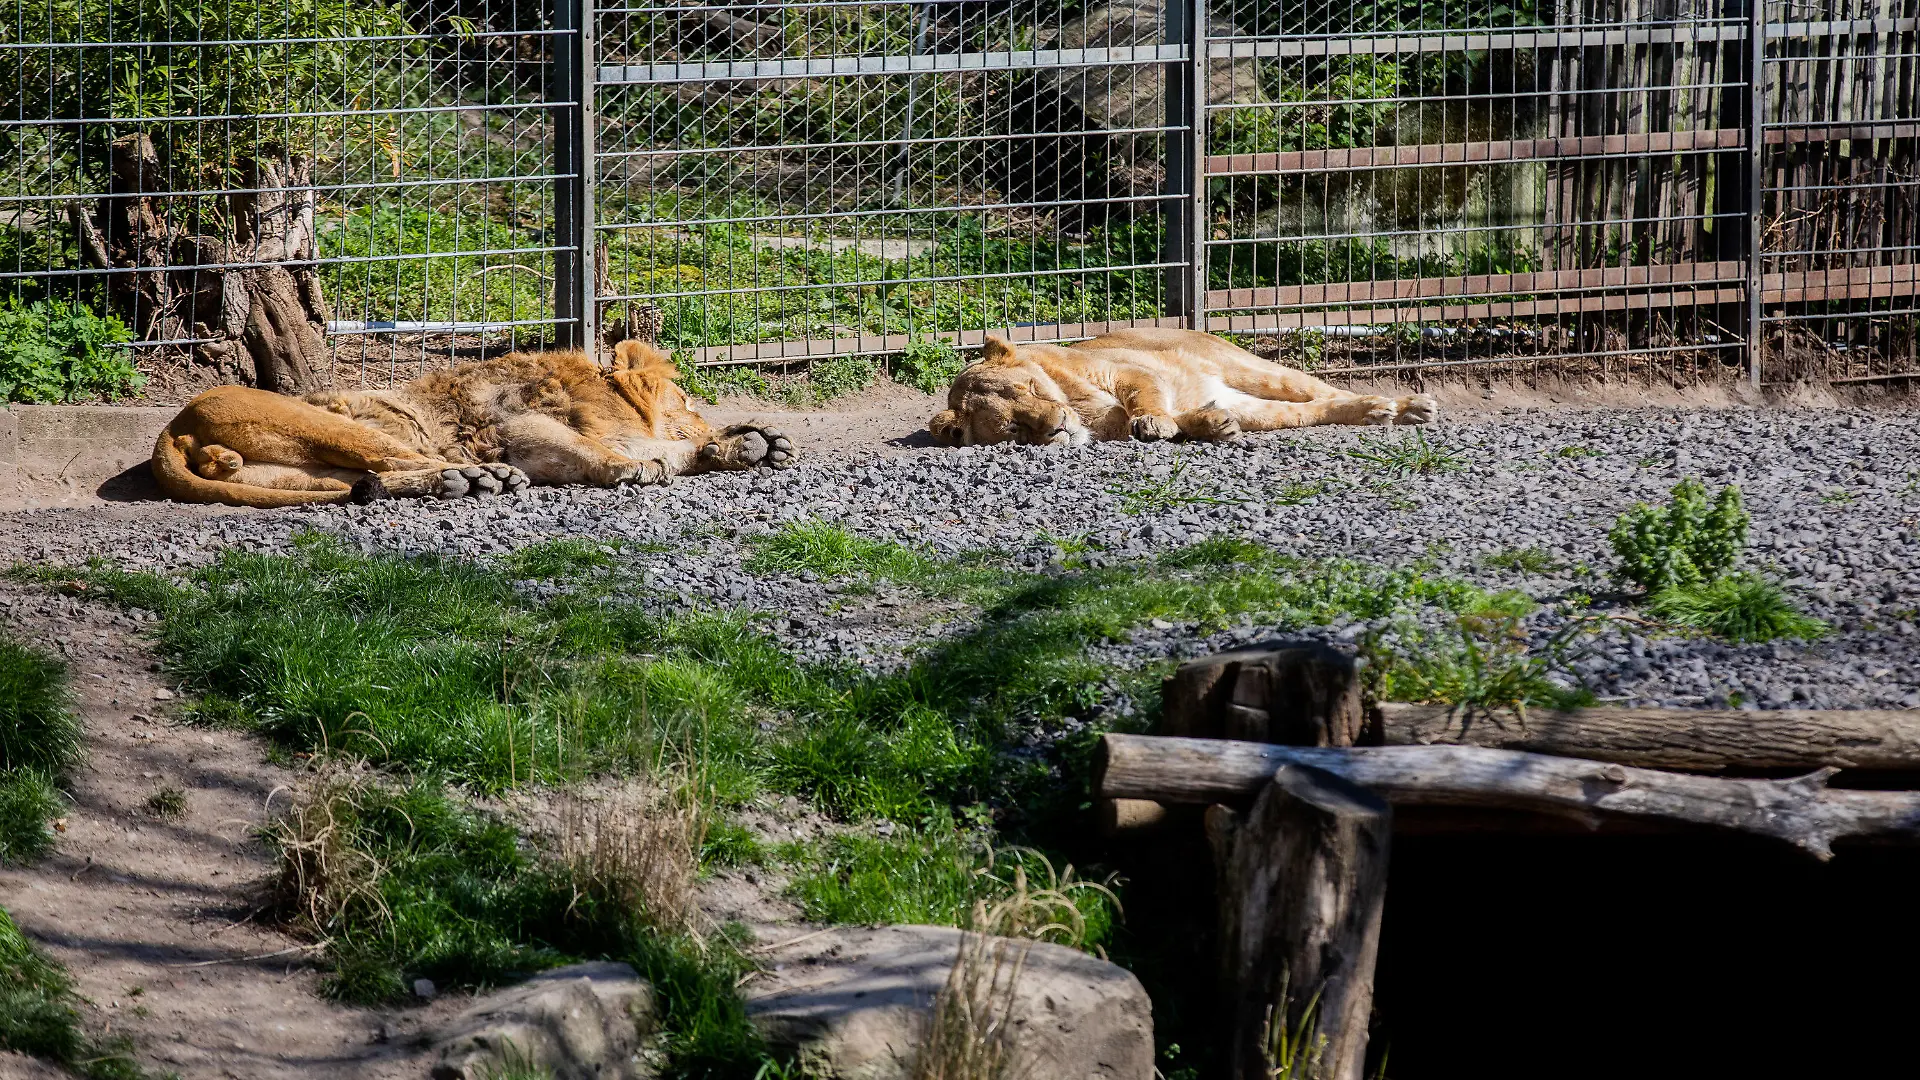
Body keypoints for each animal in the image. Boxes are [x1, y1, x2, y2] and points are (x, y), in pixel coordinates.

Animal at [151, 340, 796, 508]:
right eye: (687, 397)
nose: (705, 420)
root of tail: (177, 424)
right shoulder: (519, 426)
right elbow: (599, 453)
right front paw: (638, 467)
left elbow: (674, 453)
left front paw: (751, 445)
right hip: (344, 426)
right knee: (398, 461)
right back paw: (484, 478)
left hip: (293, 474)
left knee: (366, 483)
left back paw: (470, 482)